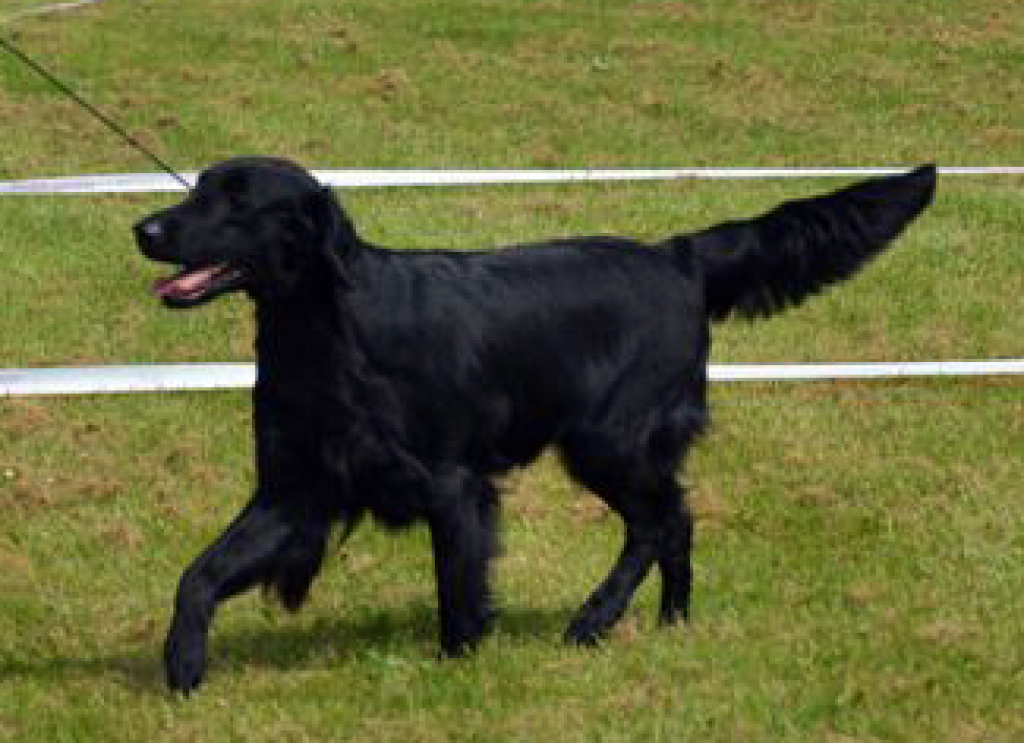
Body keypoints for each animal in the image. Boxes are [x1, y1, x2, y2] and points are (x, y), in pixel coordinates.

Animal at [135, 157, 935, 692]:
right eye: (198, 188)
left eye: (238, 200)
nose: (145, 228)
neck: (328, 329)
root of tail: (677, 256)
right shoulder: (294, 486)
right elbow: (198, 574)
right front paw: (183, 666)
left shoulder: (453, 485)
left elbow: (458, 586)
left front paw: (458, 670)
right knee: (676, 520)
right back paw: (672, 621)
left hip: (608, 440)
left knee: (657, 523)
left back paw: (594, 619)